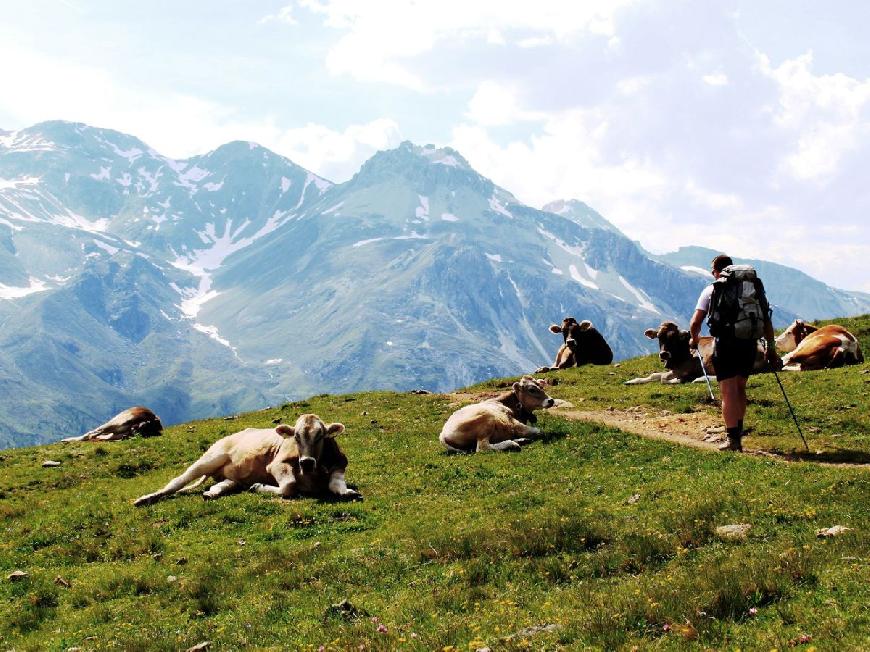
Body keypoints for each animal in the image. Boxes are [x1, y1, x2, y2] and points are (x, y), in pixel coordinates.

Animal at [133, 416, 358, 506]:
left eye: (321, 435)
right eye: (296, 436)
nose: (307, 462)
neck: (314, 475)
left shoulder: (340, 465)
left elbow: (337, 485)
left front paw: (348, 492)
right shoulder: (276, 464)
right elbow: (289, 486)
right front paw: (259, 487)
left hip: (233, 475)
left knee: (225, 483)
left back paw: (211, 493)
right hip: (210, 457)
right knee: (177, 481)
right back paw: (145, 498)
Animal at [624, 322, 768, 384]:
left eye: (674, 337)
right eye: (659, 336)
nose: (664, 354)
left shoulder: (684, 369)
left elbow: (663, 378)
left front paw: (678, 380)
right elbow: (655, 375)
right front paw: (633, 381)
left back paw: (700, 378)